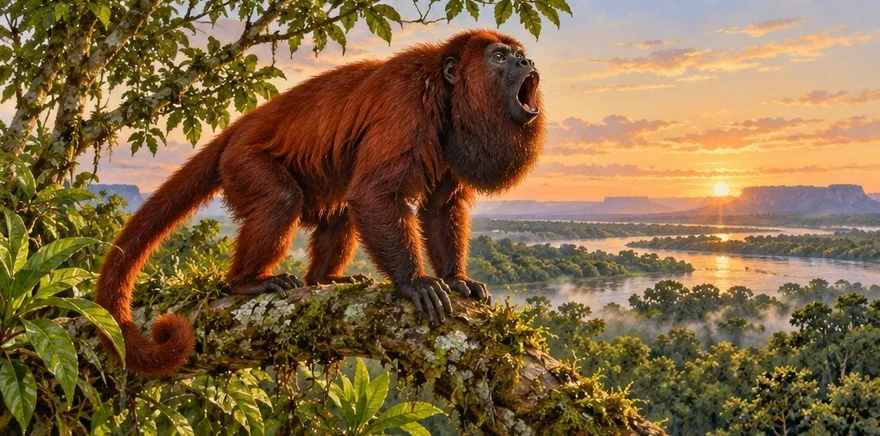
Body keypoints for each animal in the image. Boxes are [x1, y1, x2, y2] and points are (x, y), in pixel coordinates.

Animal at [94, 29, 545, 377]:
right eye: (499, 56)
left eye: (518, 53)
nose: (526, 61)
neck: (447, 91)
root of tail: (238, 128)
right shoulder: (406, 106)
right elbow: (375, 193)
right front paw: (414, 283)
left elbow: (440, 207)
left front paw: (455, 278)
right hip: (243, 161)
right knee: (282, 199)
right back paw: (246, 281)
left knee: (340, 215)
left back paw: (323, 280)